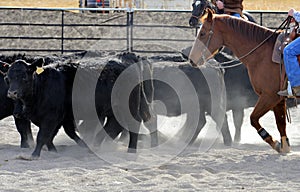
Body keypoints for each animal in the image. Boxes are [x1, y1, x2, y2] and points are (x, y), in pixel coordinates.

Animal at [189, 9, 290, 153]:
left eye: (202, 33)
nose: (191, 59)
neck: (263, 54)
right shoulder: (278, 97)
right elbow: (281, 123)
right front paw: (284, 147)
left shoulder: (269, 96)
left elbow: (253, 119)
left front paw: (273, 142)